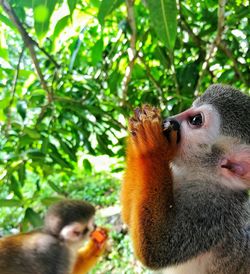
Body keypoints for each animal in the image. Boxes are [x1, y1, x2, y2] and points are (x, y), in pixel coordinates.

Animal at [122, 84, 250, 272]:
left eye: (196, 120)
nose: (169, 119)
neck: (199, 176)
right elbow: (128, 218)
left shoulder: (214, 210)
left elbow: (157, 248)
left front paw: (151, 147)